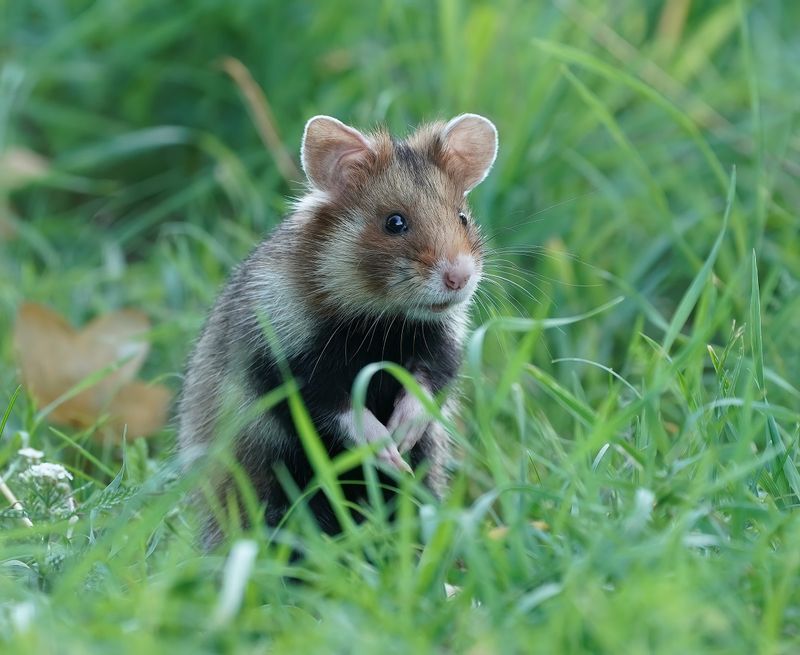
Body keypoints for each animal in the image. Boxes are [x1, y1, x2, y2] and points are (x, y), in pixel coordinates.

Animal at [178, 113, 498, 545]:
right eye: (395, 222)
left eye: (462, 217)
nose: (459, 277)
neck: (380, 319)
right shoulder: (285, 362)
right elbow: (338, 410)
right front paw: (386, 449)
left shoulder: (440, 347)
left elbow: (425, 385)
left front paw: (402, 435)